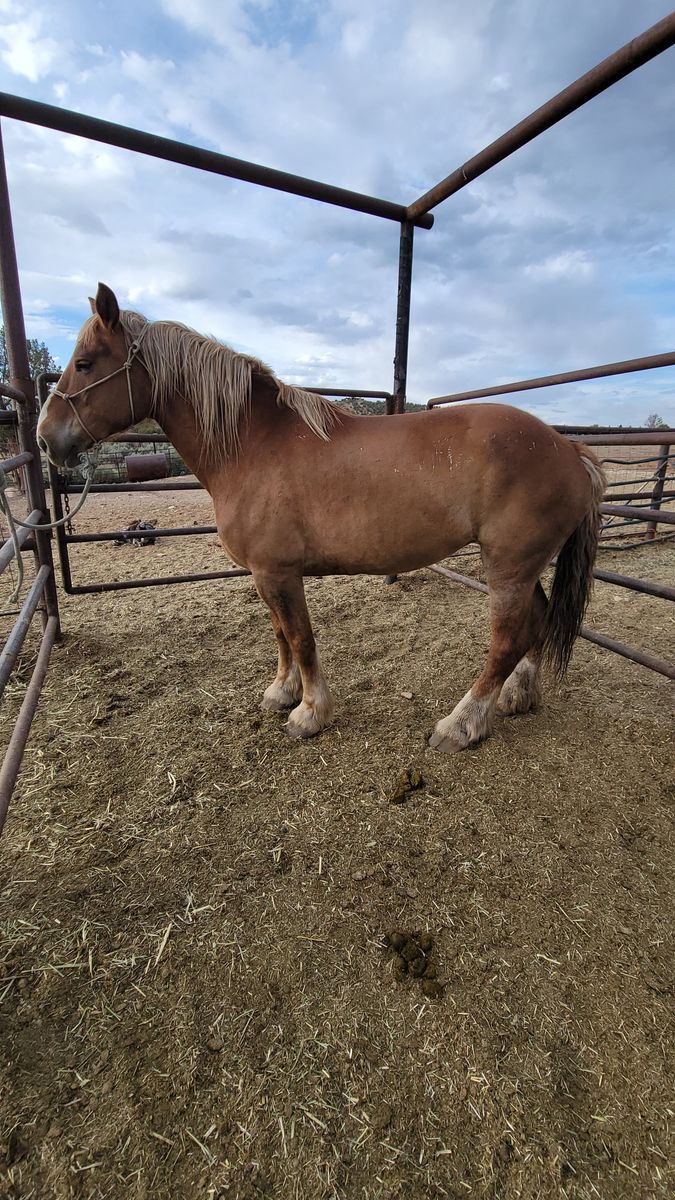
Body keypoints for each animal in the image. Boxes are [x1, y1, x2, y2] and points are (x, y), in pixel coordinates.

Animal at [37, 283, 605, 752]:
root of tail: (570, 449)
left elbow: (301, 637)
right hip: (521, 565)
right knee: (537, 620)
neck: (251, 445)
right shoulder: (266, 575)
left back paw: (461, 724)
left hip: (507, 566)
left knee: (507, 638)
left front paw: (310, 713)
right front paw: (282, 692)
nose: (46, 439)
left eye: (84, 363)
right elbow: (281, 634)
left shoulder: (280, 572)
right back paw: (518, 696)